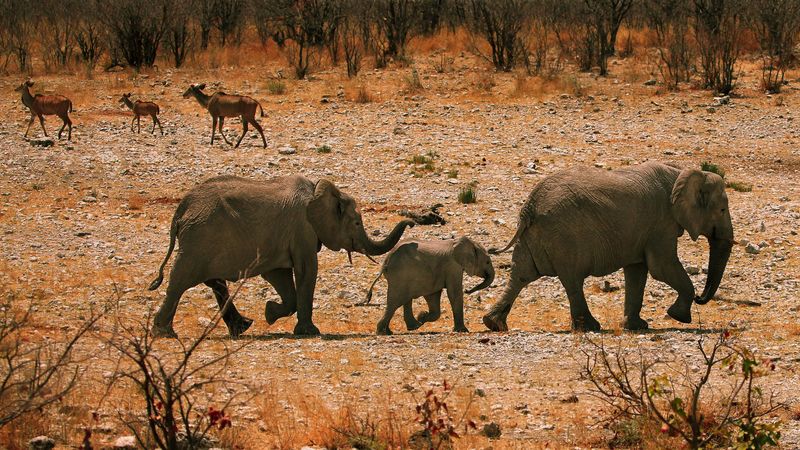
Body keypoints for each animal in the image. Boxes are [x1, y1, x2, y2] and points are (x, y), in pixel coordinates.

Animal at [148, 175, 416, 337]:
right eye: (357, 222)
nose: (413, 221)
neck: (318, 190)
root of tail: (181, 209)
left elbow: (280, 277)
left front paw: (269, 313)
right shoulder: (303, 229)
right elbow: (307, 271)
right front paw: (310, 332)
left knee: (214, 282)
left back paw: (242, 327)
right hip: (199, 239)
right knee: (181, 280)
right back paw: (164, 333)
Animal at [362, 236, 495, 335]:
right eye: (487, 262)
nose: (468, 290)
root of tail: (386, 261)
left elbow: (433, 296)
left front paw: (422, 316)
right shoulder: (453, 267)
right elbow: (454, 293)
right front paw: (463, 331)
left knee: (403, 300)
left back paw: (408, 327)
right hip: (400, 275)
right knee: (395, 302)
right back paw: (384, 332)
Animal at [482, 161, 734, 332]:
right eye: (722, 210)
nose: (701, 298)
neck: (681, 172)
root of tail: (529, 207)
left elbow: (637, 271)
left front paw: (637, 326)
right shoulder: (661, 223)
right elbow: (661, 267)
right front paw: (678, 317)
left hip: (536, 236)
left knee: (522, 275)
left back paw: (493, 324)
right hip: (564, 237)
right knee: (572, 280)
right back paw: (591, 327)